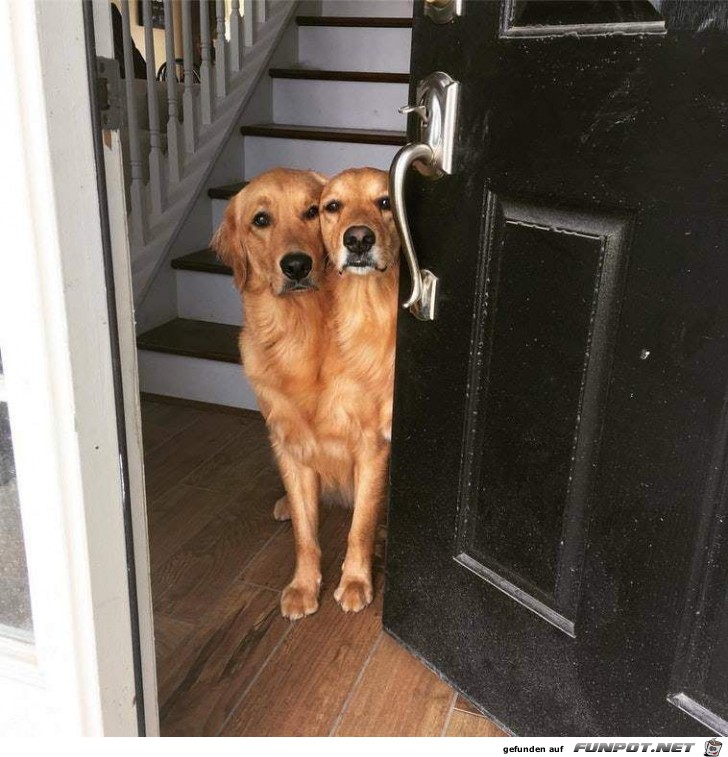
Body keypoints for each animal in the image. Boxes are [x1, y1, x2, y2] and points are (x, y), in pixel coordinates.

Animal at [209, 168, 332, 616]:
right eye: (261, 220)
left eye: (313, 211)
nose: (297, 265)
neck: (297, 331)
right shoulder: (285, 434)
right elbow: (305, 532)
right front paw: (304, 585)